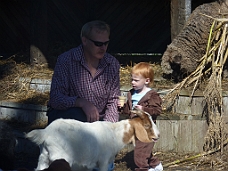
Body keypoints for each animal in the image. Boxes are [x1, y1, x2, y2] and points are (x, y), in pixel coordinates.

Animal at [25, 109, 160, 171]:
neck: (115, 133)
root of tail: (46, 133)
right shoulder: (103, 161)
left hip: (43, 158)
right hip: (60, 157)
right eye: (147, 125)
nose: (158, 135)